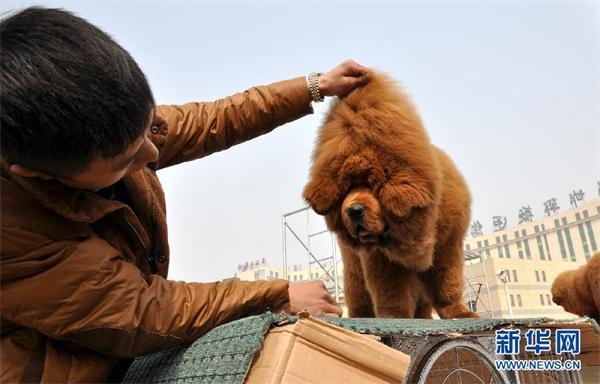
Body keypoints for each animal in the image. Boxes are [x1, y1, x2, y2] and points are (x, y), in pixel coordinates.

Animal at [304, 71, 478, 318]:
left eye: (372, 185)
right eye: (347, 189)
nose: (354, 210)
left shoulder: (448, 246)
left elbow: (447, 284)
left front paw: (458, 312)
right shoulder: (380, 260)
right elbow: (392, 294)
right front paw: (394, 317)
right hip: (354, 270)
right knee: (359, 296)